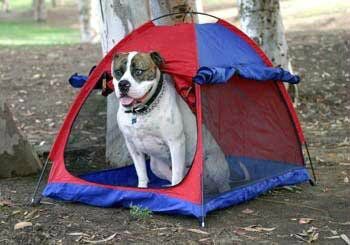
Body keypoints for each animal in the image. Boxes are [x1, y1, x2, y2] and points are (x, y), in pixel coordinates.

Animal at [112, 51, 231, 193]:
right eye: (118, 72)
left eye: (139, 71)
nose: (123, 84)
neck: (141, 112)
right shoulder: (132, 146)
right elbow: (141, 174)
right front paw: (141, 189)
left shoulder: (175, 143)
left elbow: (177, 176)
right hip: (155, 166)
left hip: (213, 164)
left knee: (223, 184)